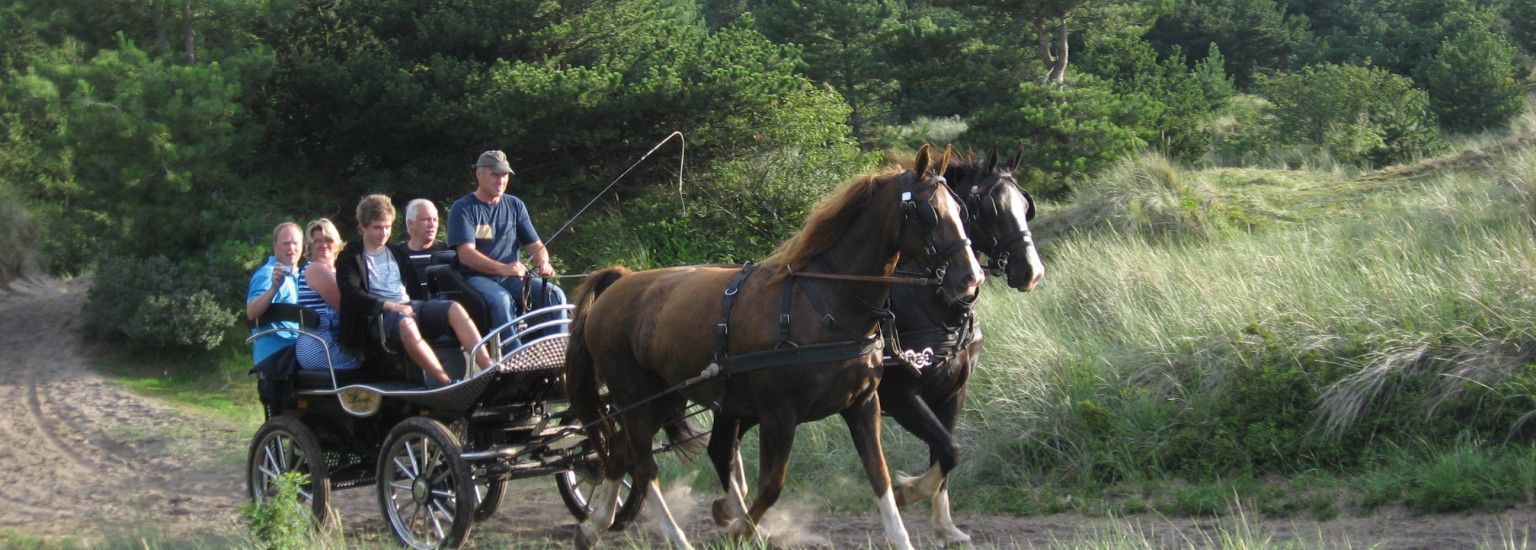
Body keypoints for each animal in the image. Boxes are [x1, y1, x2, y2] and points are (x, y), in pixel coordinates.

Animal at [568, 143, 983, 546]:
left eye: (961, 210)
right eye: (929, 212)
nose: (971, 278)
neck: (823, 302)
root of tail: (619, 283)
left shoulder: (864, 404)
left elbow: (881, 474)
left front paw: (905, 509)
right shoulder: (780, 415)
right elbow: (771, 486)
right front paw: (739, 529)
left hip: (668, 397)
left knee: (620, 452)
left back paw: (594, 525)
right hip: (638, 397)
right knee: (643, 463)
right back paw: (674, 535)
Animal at [703, 149, 1044, 546]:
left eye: (1025, 205)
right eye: (990, 207)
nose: (1033, 272)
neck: (928, 302)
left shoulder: (951, 394)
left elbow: (943, 454)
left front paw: (945, 527)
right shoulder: (901, 396)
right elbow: (948, 451)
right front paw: (905, 492)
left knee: (725, 446)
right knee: (721, 446)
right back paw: (735, 511)